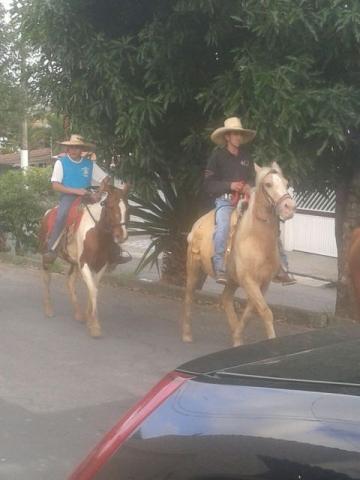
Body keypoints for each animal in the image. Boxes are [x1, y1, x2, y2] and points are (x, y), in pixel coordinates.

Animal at [39, 178, 129, 340]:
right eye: (110, 206)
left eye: (128, 208)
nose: (121, 235)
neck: (98, 233)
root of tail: (48, 212)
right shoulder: (84, 263)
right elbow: (93, 289)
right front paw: (95, 325)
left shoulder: (101, 265)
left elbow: (93, 288)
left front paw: (89, 318)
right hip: (47, 256)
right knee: (46, 277)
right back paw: (49, 308)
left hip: (74, 262)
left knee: (70, 282)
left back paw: (78, 313)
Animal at [181, 163, 296, 346]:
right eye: (268, 184)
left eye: (286, 182)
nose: (289, 207)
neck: (256, 239)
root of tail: (197, 224)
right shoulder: (249, 280)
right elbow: (265, 311)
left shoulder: (263, 283)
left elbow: (251, 311)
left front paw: (237, 337)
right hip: (193, 269)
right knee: (189, 296)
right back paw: (186, 334)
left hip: (231, 280)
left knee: (226, 299)